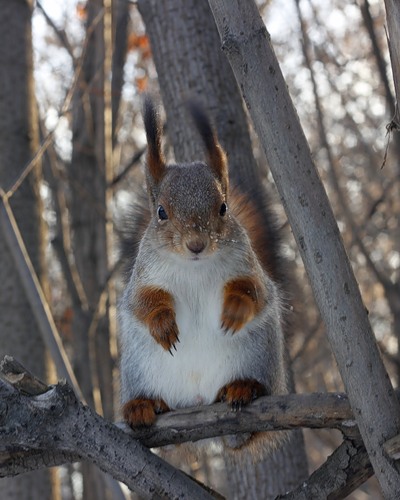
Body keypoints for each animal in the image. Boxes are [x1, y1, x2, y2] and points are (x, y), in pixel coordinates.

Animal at [117, 97, 290, 458]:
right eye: (161, 212)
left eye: (223, 207)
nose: (196, 244)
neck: (194, 266)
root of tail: (197, 399)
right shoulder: (144, 277)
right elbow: (143, 302)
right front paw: (162, 324)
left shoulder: (247, 267)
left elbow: (254, 292)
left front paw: (235, 309)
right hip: (139, 369)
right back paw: (142, 405)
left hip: (258, 355)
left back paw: (243, 387)